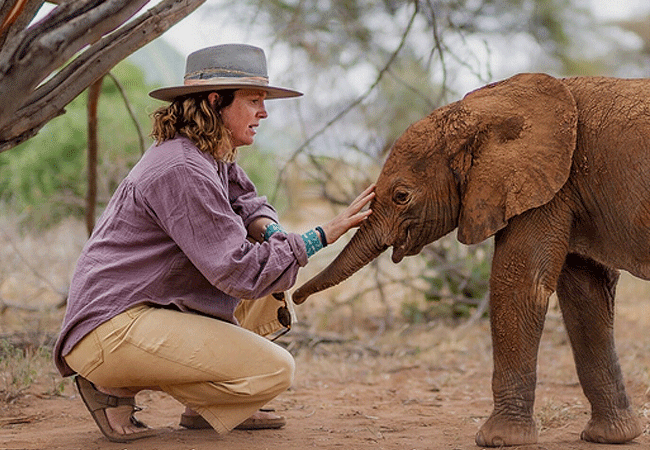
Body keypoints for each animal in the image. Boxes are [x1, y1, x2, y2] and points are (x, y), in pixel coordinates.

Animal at [292, 73, 649, 446]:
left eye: (401, 196)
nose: (295, 299)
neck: (486, 106)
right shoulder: (563, 191)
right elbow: (586, 294)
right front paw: (611, 437)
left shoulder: (544, 189)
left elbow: (519, 285)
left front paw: (498, 440)